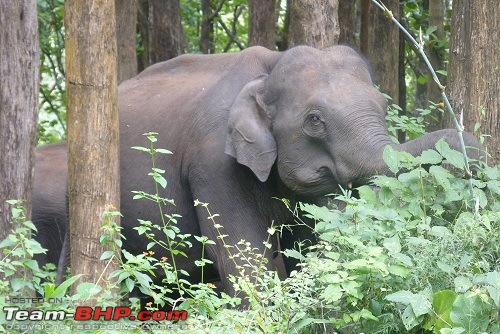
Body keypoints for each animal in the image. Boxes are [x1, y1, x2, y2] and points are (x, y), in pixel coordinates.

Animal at [32, 45, 484, 300]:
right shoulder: (214, 165)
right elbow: (248, 262)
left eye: (384, 105)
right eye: (315, 120)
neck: (268, 69)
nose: (475, 148)